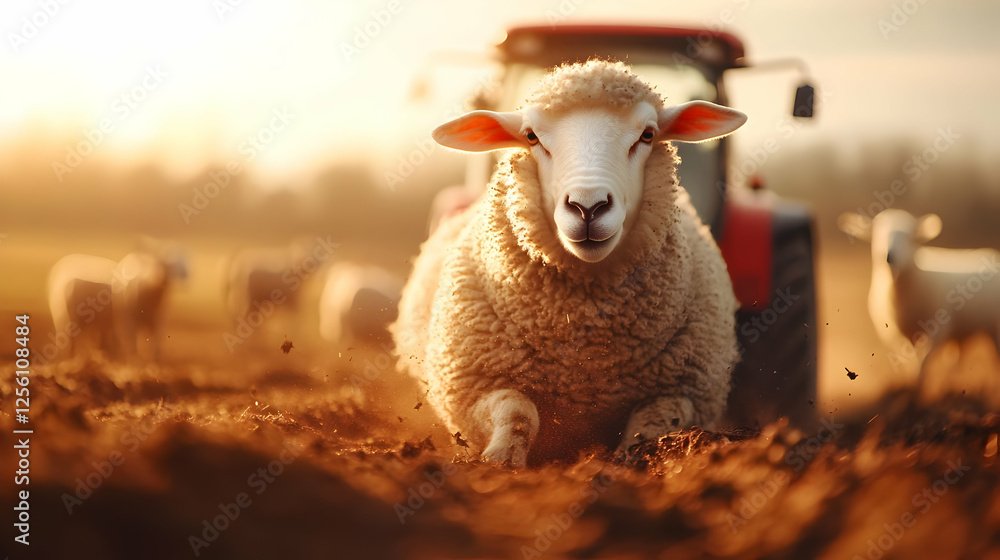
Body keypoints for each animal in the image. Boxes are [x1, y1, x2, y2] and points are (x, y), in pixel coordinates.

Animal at [391, 60, 747, 467]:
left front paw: (634, 461)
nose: (588, 207)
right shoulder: (472, 386)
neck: (584, 355)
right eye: (531, 137)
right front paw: (500, 460)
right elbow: (517, 412)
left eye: (647, 135)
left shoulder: (686, 391)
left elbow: (649, 426)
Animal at [838, 209, 1000, 376]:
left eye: (911, 237)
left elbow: (923, 364)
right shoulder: (900, 337)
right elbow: (912, 364)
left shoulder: (938, 331)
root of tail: (990, 253)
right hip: (964, 329)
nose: (890, 256)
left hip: (992, 326)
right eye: (877, 234)